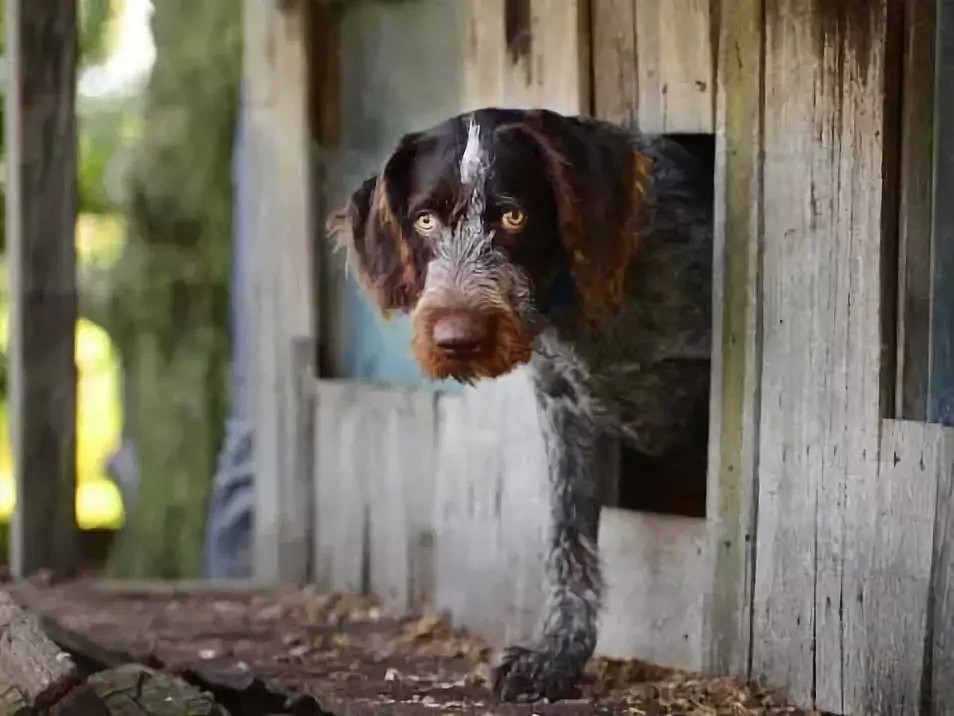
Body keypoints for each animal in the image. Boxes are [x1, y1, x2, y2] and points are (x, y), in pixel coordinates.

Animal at [330, 109, 712, 704]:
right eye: (423, 221)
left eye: (514, 216)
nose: (457, 338)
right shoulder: (564, 409)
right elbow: (567, 538)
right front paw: (557, 656)